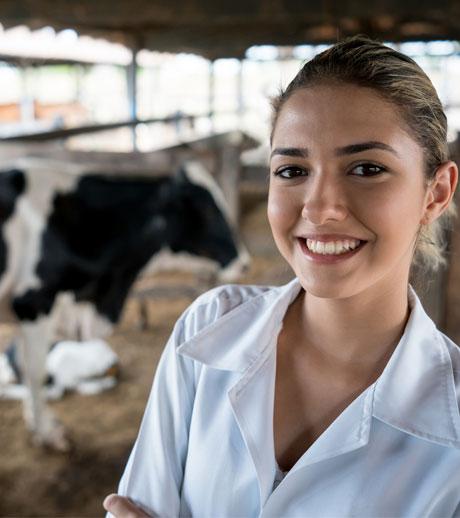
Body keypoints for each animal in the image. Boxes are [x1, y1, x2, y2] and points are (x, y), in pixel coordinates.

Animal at [0, 159, 250, 450]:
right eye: (207, 210)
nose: (244, 262)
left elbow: (24, 366)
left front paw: (36, 421)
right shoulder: (33, 302)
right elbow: (35, 371)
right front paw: (48, 432)